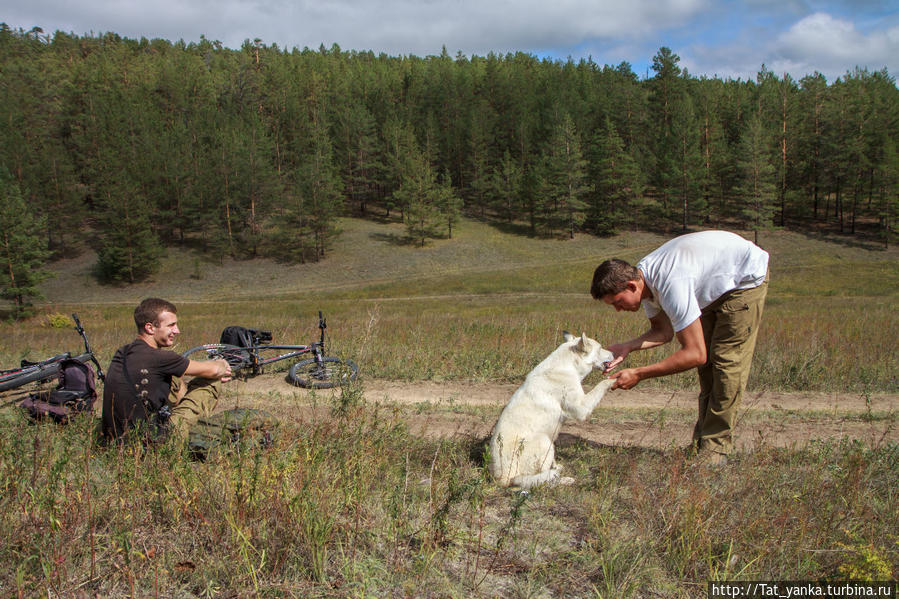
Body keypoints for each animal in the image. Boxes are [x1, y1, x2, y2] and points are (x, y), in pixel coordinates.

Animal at [488, 332, 616, 492]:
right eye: (600, 349)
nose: (614, 353)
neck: (568, 365)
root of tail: (502, 479)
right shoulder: (582, 408)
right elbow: (602, 384)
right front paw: (616, 379)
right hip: (544, 441)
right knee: (541, 479)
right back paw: (564, 479)